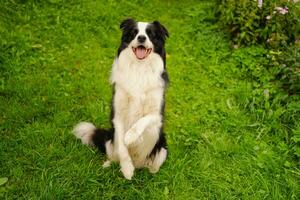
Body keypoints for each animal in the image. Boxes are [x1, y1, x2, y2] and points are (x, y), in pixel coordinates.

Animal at [73, 18, 169, 179]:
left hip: (162, 145)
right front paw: (127, 169)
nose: (141, 38)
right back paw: (109, 164)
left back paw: (152, 170)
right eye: (134, 33)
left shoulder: (158, 114)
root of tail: (139, 164)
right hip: (109, 140)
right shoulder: (117, 114)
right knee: (114, 155)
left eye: (150, 34)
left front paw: (131, 136)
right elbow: (122, 146)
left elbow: (142, 121)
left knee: (154, 163)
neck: (139, 68)